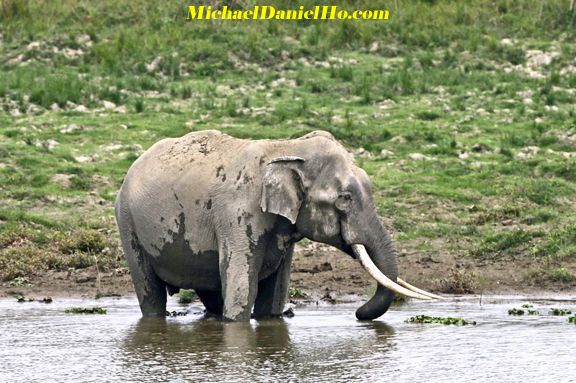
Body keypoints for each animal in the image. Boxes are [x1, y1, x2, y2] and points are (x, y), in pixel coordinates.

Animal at [115, 130, 438, 322]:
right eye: (344, 199)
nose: (357, 313)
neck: (287, 147)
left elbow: (274, 297)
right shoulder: (236, 213)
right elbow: (241, 293)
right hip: (127, 222)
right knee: (151, 294)